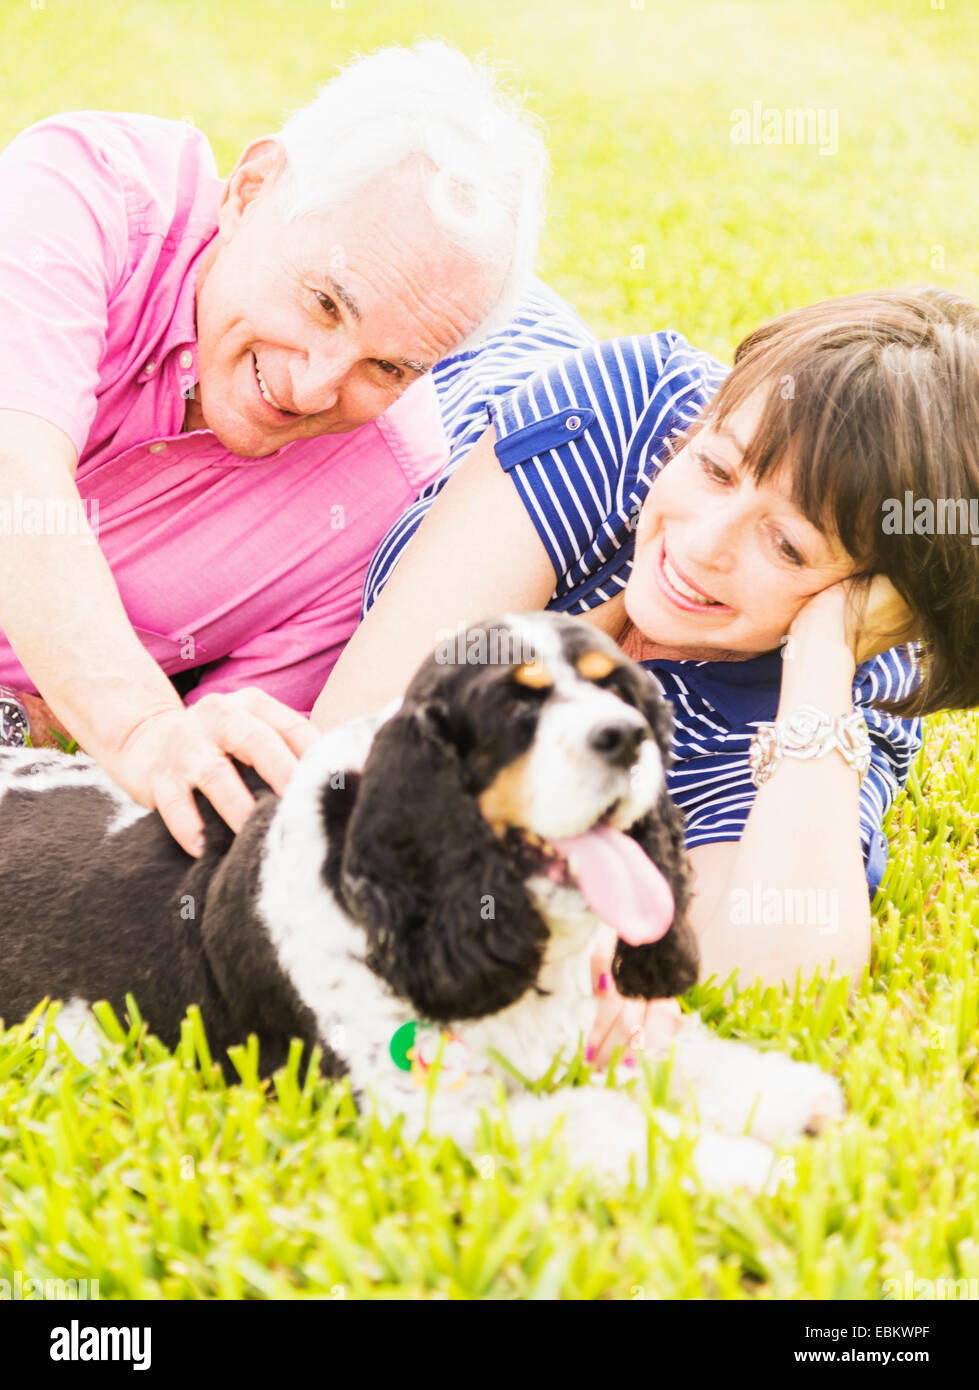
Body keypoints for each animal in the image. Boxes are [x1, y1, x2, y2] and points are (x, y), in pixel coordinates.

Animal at [0, 614, 839, 1189]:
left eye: (617, 688)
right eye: (515, 711)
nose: (627, 736)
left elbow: (673, 1056)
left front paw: (787, 1095)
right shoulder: (425, 1111)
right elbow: (598, 1118)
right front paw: (739, 1167)